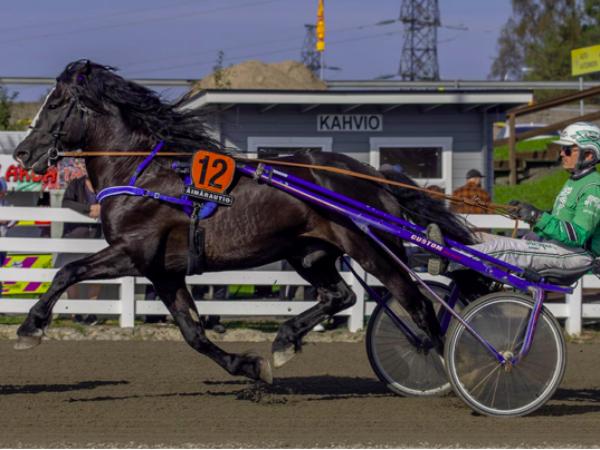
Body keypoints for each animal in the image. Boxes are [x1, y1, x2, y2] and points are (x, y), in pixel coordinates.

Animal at [13, 60, 475, 384]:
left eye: (55, 103)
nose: (22, 152)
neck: (143, 175)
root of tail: (374, 175)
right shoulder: (163, 271)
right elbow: (193, 333)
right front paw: (249, 366)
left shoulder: (133, 252)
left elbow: (68, 271)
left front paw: (31, 326)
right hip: (310, 254)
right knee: (340, 295)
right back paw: (285, 340)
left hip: (373, 249)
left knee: (416, 302)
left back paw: (448, 367)